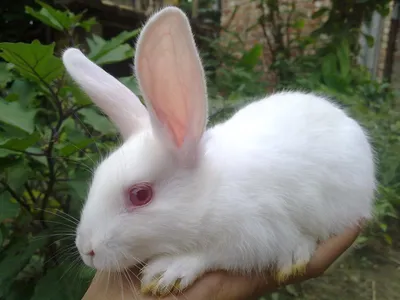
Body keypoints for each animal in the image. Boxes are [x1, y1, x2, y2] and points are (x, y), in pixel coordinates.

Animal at [61, 5, 376, 296]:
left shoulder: (255, 235)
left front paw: (169, 270)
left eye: (140, 195)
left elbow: (215, 254)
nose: (86, 250)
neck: (210, 194)